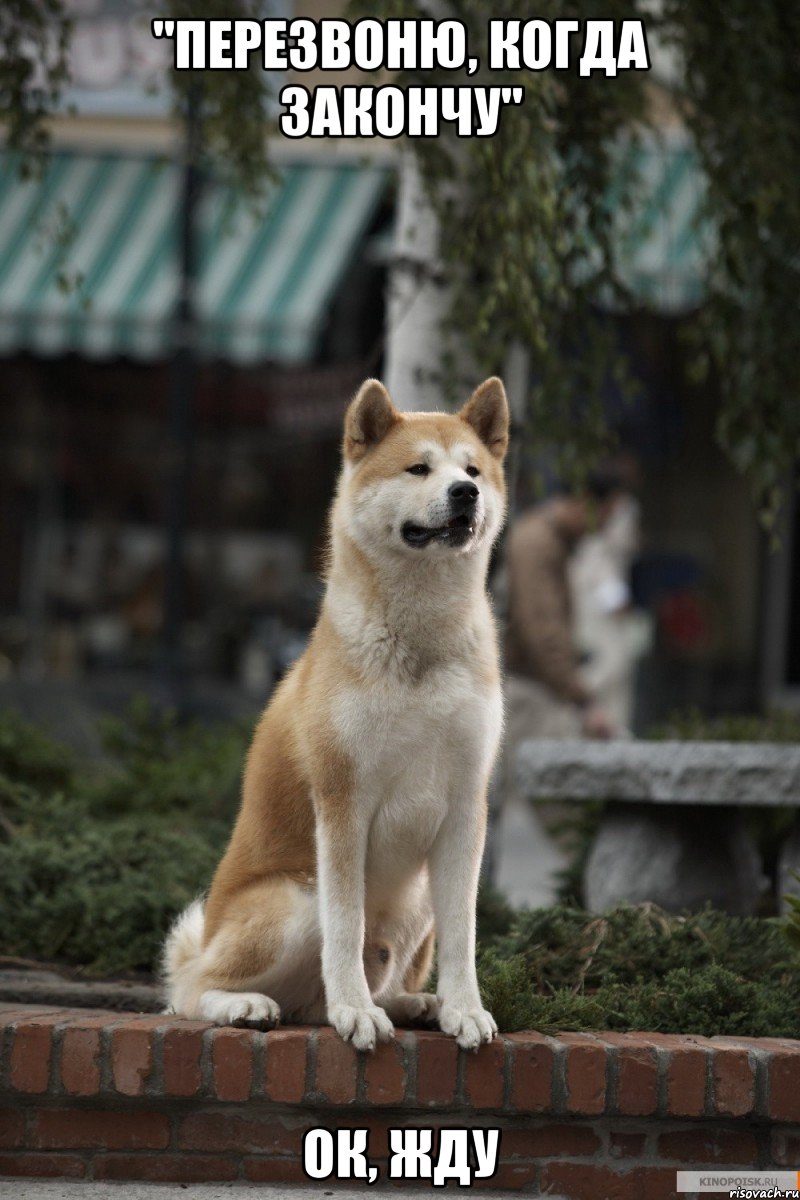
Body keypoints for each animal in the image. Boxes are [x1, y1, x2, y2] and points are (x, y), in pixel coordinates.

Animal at [165, 374, 510, 1051]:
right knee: (189, 990)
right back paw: (250, 1005)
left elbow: (464, 935)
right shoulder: (343, 801)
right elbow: (346, 928)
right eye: (418, 468)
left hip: (417, 900)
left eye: (473, 470)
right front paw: (355, 1011)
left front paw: (464, 1009)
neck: (420, 643)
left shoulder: (466, 806)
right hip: (295, 900)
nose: (465, 493)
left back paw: (415, 1003)